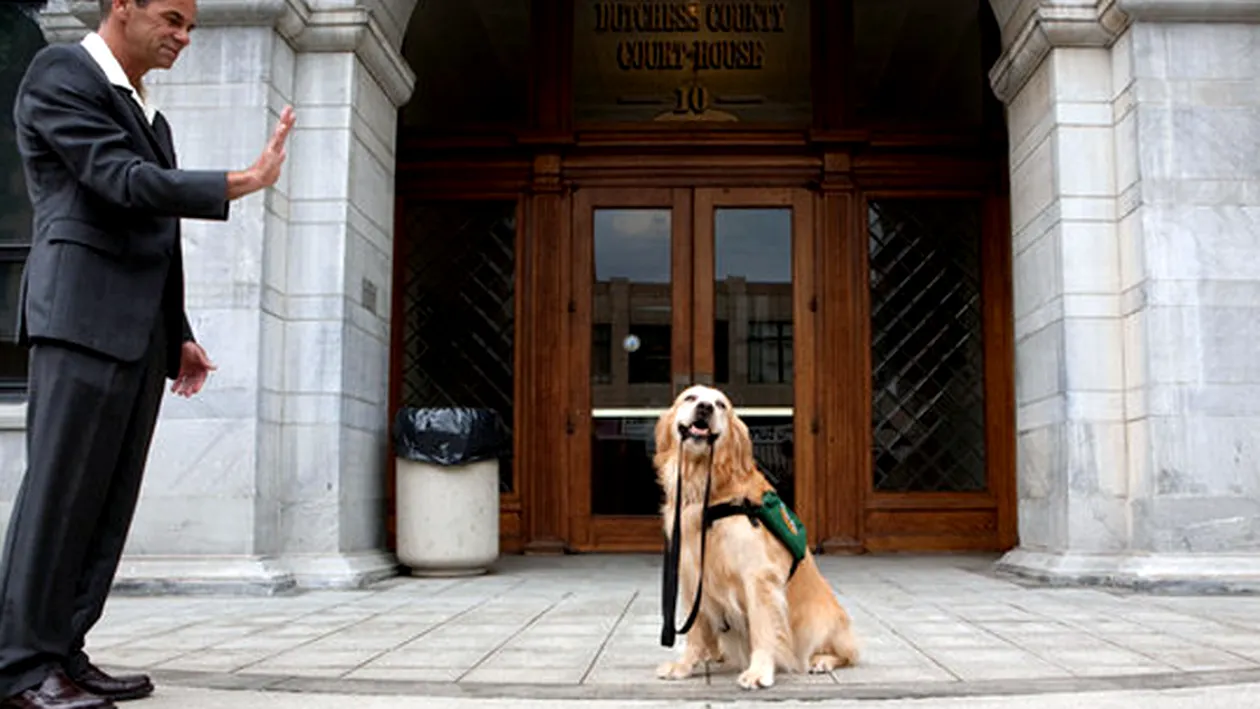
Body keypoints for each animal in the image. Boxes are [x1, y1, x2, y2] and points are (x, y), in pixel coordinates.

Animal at [650, 385, 856, 690]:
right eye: (690, 397)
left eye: (720, 404)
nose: (705, 408)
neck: (708, 491)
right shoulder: (690, 577)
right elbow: (695, 631)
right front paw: (684, 666)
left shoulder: (758, 576)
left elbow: (762, 628)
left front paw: (758, 672)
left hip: (820, 622)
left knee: (847, 653)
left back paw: (821, 661)